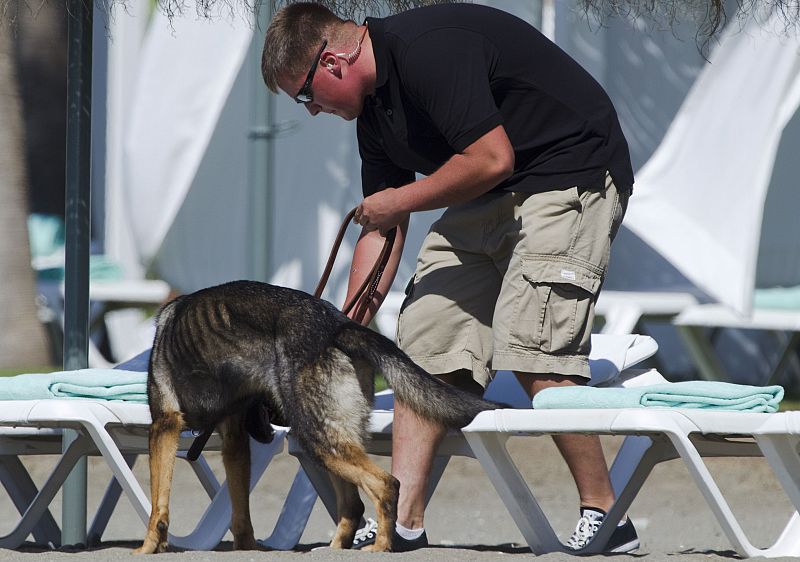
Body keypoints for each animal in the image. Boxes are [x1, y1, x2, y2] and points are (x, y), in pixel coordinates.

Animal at [134, 280, 496, 552]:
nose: (267, 435)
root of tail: (338, 325)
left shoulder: (163, 428)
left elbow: (157, 507)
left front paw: (148, 547)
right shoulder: (235, 443)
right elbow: (240, 515)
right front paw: (246, 549)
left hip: (317, 438)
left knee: (386, 484)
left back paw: (380, 547)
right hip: (328, 441)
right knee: (353, 505)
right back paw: (335, 550)